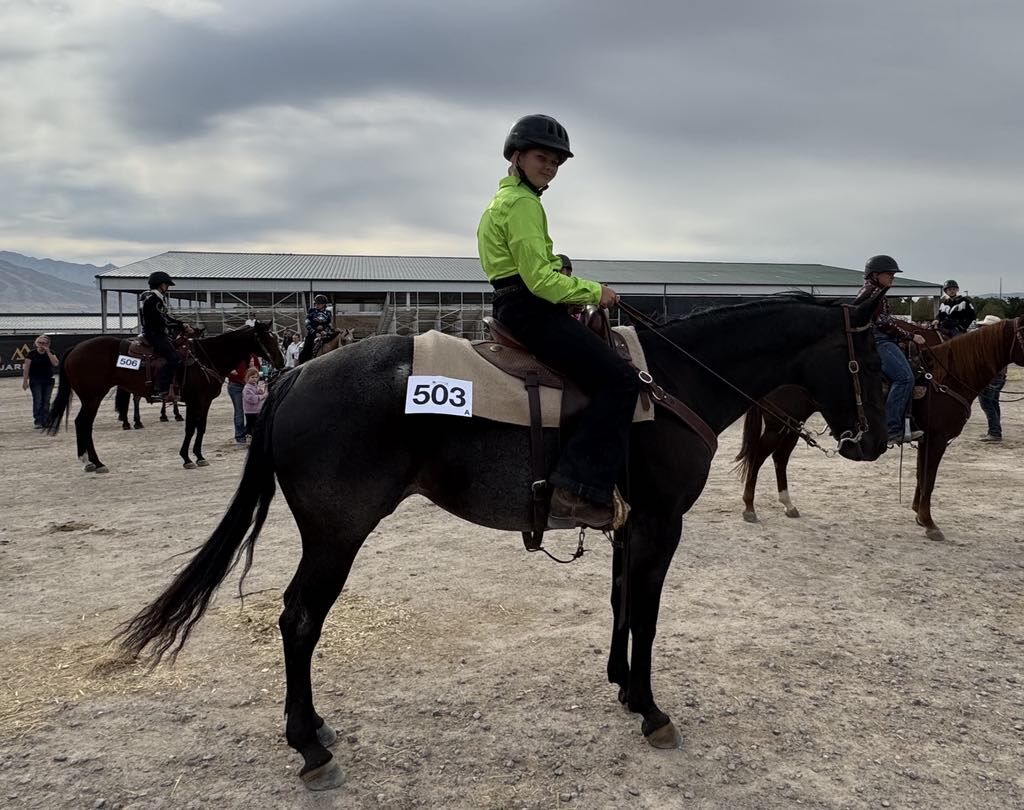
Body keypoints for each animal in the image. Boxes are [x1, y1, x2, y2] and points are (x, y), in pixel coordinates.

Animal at [45, 322, 285, 472]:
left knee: (83, 423)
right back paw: (94, 461)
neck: (206, 357)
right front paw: (187, 458)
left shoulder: (204, 402)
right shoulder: (195, 400)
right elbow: (191, 428)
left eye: (277, 338)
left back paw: (90, 461)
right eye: (268, 339)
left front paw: (199, 456)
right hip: (92, 397)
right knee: (83, 423)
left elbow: (200, 427)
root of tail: (76, 347)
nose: (281, 362)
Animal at [117, 295, 888, 792]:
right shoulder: (660, 524)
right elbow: (646, 614)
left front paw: (621, 686)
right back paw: (309, 745)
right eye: (879, 366)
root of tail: (299, 374)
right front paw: (651, 709)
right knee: (300, 618)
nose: (876, 442)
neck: (672, 384)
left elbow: (619, 604)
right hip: (337, 536)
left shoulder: (628, 526)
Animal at [735, 318, 1024, 540]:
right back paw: (749, 507)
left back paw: (788, 504)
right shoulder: (938, 439)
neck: (947, 377)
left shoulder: (926, 439)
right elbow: (929, 481)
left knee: (779, 458)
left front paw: (919, 515)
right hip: (779, 423)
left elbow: (921, 477)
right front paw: (930, 524)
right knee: (759, 456)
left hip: (791, 423)